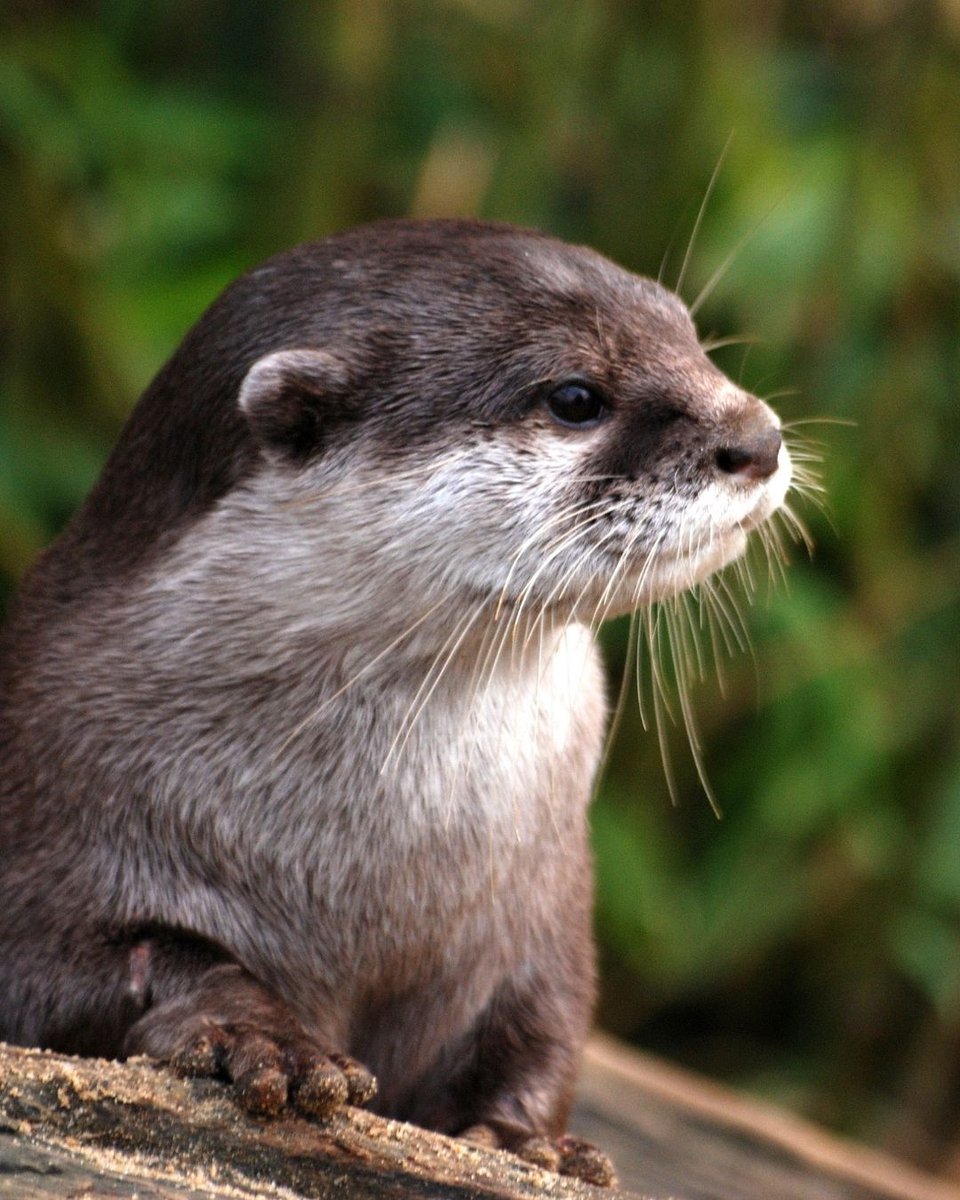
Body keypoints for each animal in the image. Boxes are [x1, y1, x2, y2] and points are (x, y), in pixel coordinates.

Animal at [0, 219, 791, 1185]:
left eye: (688, 334)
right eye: (575, 397)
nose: (757, 437)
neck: (368, 877)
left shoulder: (545, 908)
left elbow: (547, 1026)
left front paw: (523, 1139)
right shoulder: (48, 806)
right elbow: (115, 962)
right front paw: (258, 1034)